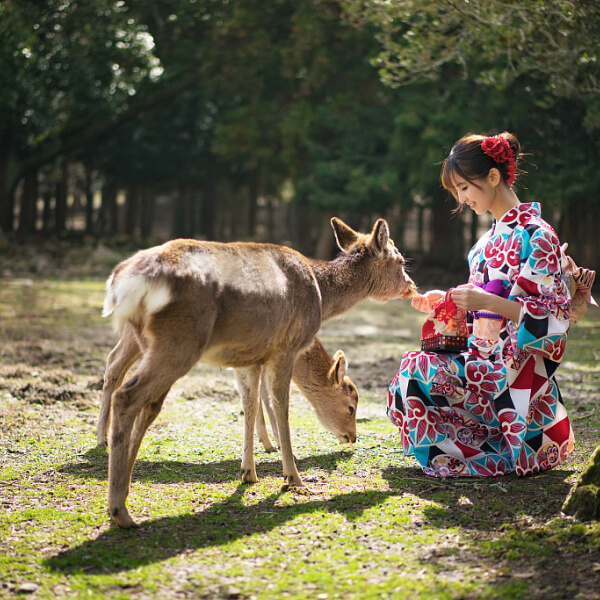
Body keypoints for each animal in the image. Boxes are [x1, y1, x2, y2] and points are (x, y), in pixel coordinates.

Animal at [101, 218, 414, 528]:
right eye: (400, 261)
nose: (411, 286)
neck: (321, 296)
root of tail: (124, 282)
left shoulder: (250, 357)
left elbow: (250, 404)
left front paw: (248, 472)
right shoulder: (285, 348)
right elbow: (281, 407)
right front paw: (294, 479)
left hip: (152, 342)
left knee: (143, 398)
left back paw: (123, 488)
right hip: (179, 341)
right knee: (127, 394)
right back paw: (120, 510)